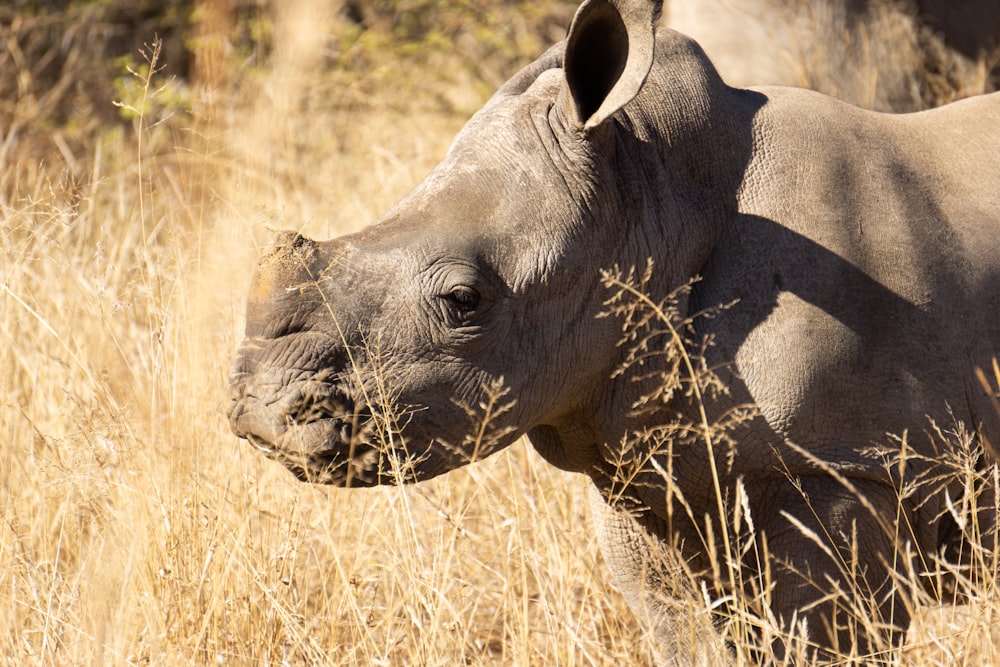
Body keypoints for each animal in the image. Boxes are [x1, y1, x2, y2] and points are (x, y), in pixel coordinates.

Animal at [227, 0, 1000, 664]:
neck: (651, 201)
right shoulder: (646, 467)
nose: (259, 411)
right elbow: (686, 634)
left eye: (463, 300)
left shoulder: (844, 466)